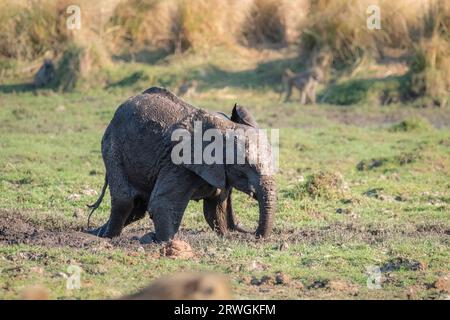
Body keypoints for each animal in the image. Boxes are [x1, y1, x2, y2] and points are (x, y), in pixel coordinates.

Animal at [87, 86, 276, 241]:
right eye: (243, 168)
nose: (254, 236)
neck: (225, 126)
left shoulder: (218, 172)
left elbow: (215, 209)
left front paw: (226, 237)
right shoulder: (178, 164)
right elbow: (163, 204)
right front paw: (166, 243)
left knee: (138, 207)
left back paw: (97, 233)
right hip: (113, 149)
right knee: (125, 201)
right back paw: (108, 237)